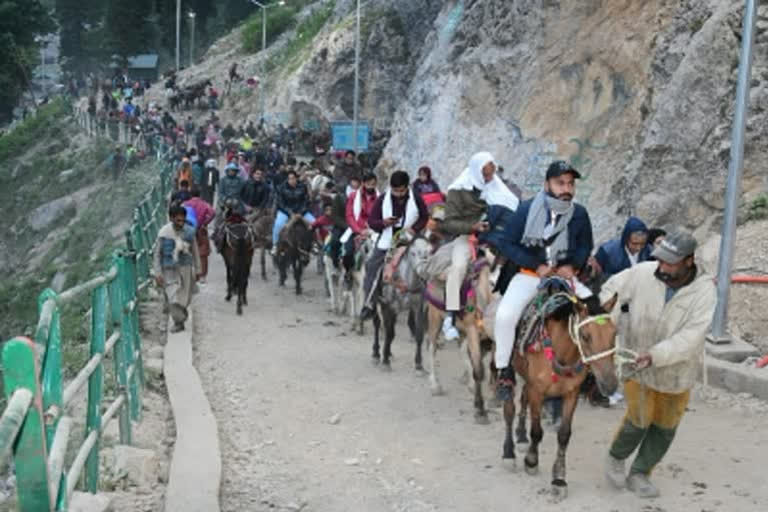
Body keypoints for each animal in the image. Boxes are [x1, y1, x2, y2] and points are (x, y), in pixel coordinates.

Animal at [498, 276, 616, 500]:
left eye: (615, 334)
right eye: (585, 336)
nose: (610, 384)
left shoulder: (571, 393)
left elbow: (564, 435)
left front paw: (559, 478)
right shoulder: (538, 391)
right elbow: (537, 431)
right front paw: (531, 461)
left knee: (523, 399)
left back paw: (521, 436)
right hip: (508, 370)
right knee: (509, 408)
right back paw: (509, 453)